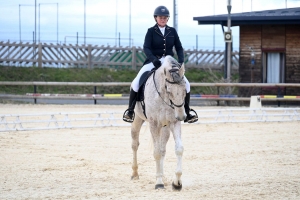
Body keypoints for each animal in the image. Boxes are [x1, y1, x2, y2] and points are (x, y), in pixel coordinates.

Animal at [131, 55, 185, 190]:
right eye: (169, 90)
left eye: (185, 91)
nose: (181, 116)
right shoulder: (154, 124)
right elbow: (156, 153)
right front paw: (159, 183)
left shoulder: (173, 123)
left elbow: (179, 149)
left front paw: (177, 182)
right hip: (137, 119)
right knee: (135, 144)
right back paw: (135, 174)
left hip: (165, 127)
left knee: (162, 149)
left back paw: (162, 175)